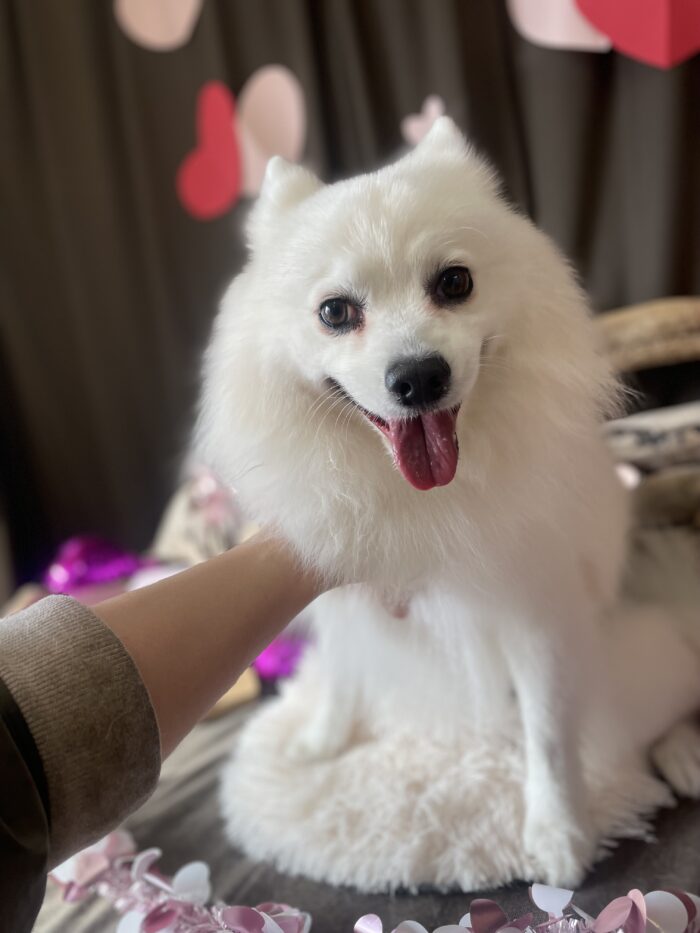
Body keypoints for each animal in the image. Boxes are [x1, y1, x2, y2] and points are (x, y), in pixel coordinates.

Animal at [197, 117, 700, 886]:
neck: (420, 493)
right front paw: (321, 738)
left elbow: (550, 735)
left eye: (454, 282)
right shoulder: (339, 586)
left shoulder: (540, 612)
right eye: (335, 312)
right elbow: (341, 671)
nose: (418, 376)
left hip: (633, 651)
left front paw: (558, 832)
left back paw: (681, 749)